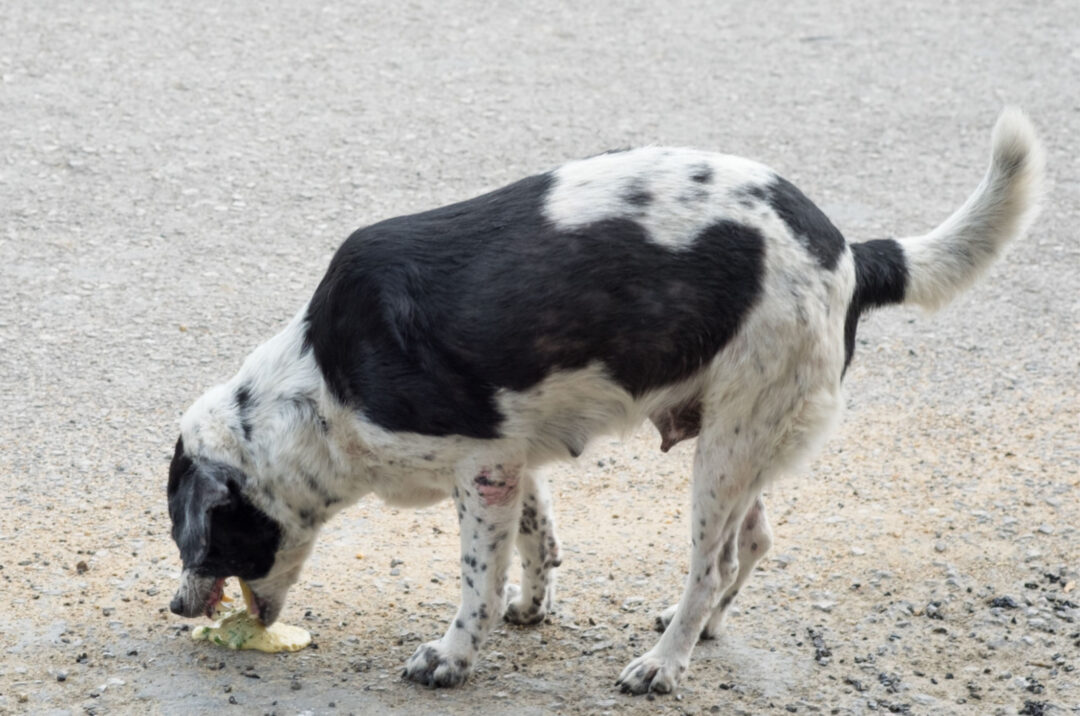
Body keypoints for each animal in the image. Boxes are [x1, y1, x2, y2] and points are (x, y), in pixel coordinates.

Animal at [170, 110, 1045, 695]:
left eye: (196, 543)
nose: (178, 608)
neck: (320, 382)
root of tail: (851, 253)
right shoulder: (512, 459)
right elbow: (538, 539)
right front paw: (531, 606)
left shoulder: (481, 468)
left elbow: (476, 577)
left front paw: (453, 655)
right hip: (746, 438)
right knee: (753, 539)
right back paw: (700, 629)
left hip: (727, 449)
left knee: (712, 561)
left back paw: (664, 664)